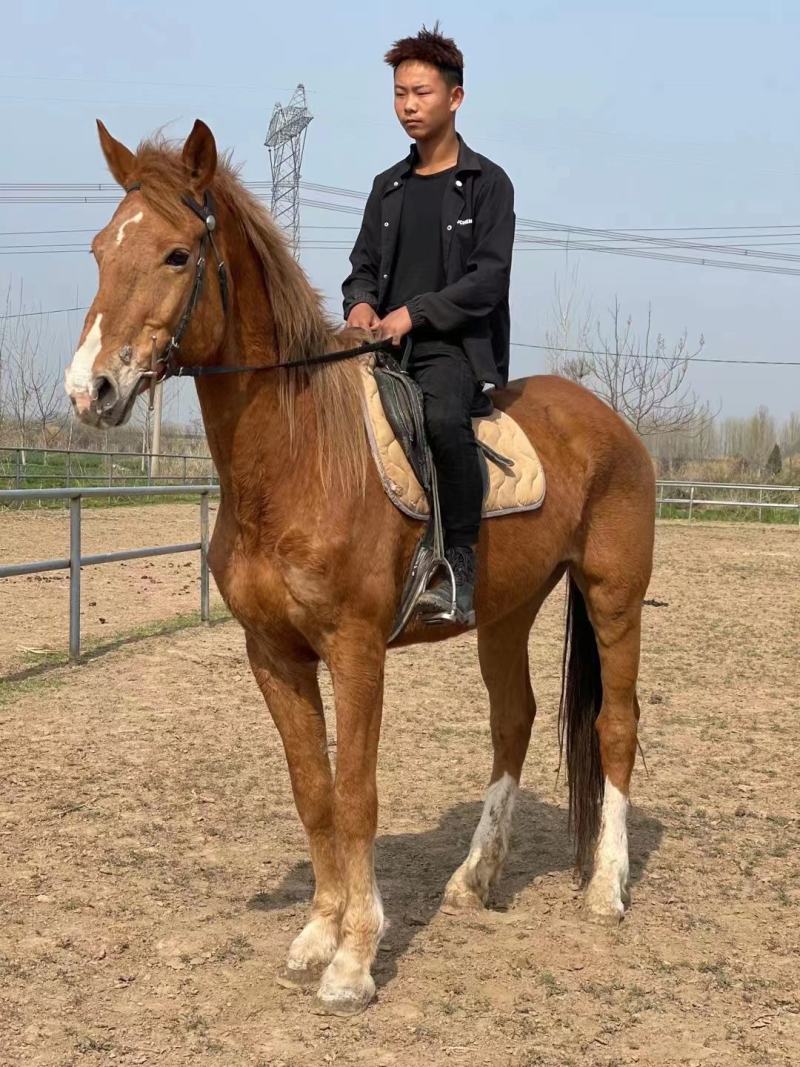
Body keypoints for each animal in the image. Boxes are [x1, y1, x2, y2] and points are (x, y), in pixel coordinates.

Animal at [64, 119, 655, 1016]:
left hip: (614, 597)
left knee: (614, 725)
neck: (300, 453)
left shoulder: (356, 649)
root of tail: (610, 423)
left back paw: (606, 889)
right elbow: (313, 789)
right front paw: (317, 932)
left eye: (175, 254)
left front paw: (355, 959)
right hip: (507, 611)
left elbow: (356, 790)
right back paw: (475, 877)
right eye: (101, 249)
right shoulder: (273, 654)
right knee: (512, 721)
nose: (88, 390)